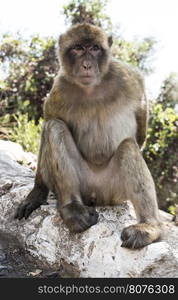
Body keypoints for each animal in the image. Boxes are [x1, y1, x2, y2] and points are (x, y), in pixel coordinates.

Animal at [14, 22, 161, 248]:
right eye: (77, 48)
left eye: (94, 48)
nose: (86, 65)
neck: (92, 88)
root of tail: (96, 197)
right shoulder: (58, 89)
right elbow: (49, 123)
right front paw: (37, 191)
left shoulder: (129, 78)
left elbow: (140, 130)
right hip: (84, 184)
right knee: (55, 128)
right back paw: (73, 209)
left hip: (113, 191)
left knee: (128, 147)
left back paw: (148, 226)